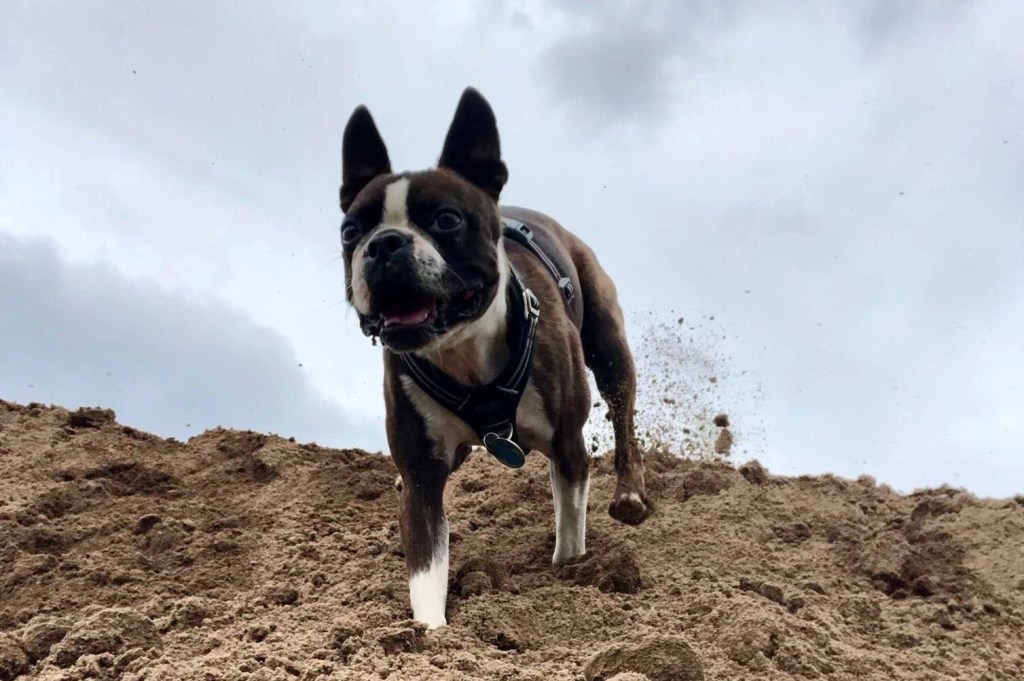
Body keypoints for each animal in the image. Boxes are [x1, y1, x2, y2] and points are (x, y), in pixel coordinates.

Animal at [338, 87, 652, 628]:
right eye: (349, 231)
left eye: (446, 220)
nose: (383, 243)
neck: (461, 352)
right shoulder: (423, 479)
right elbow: (426, 567)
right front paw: (430, 632)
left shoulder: (568, 447)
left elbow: (570, 532)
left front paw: (568, 572)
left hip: (610, 348)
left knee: (623, 415)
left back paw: (629, 494)